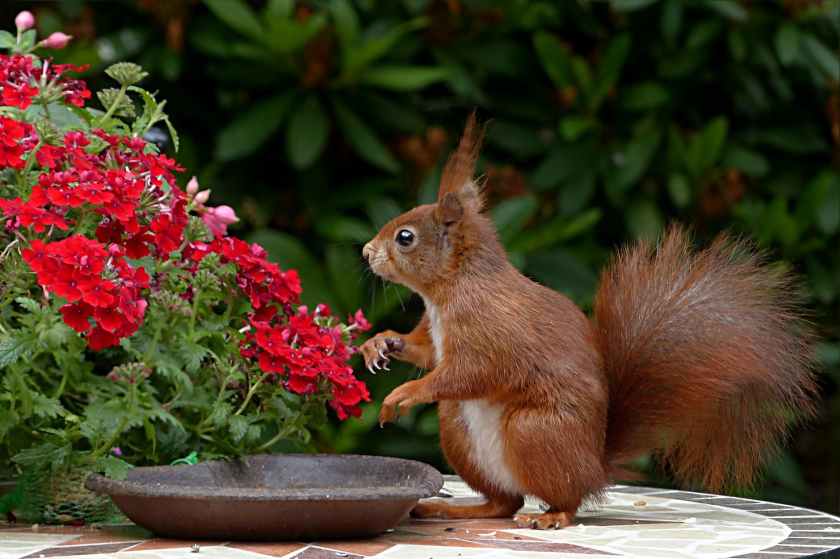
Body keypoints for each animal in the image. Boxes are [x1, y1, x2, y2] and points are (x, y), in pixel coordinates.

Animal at [360, 114, 819, 530]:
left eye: (405, 237)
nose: (365, 252)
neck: (450, 289)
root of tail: (595, 466)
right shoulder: (436, 333)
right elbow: (426, 352)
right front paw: (380, 344)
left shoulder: (490, 329)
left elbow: (470, 372)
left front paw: (405, 393)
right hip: (458, 429)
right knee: (504, 503)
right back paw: (452, 509)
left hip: (534, 431)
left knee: (564, 498)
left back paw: (552, 515)